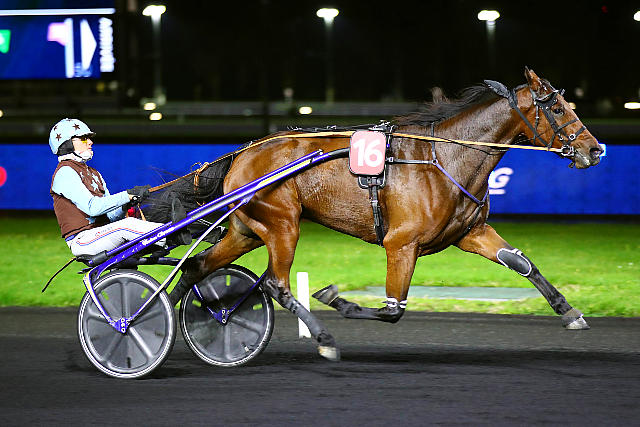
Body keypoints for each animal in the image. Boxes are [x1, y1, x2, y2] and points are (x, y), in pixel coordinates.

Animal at [147, 68, 602, 361]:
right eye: (557, 109)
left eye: (569, 104)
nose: (595, 149)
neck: (446, 158)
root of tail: (242, 153)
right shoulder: (401, 243)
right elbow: (391, 309)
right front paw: (336, 299)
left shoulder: (469, 231)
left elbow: (521, 263)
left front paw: (570, 311)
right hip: (282, 225)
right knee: (276, 284)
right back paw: (323, 336)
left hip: (247, 230)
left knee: (197, 267)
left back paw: (165, 320)